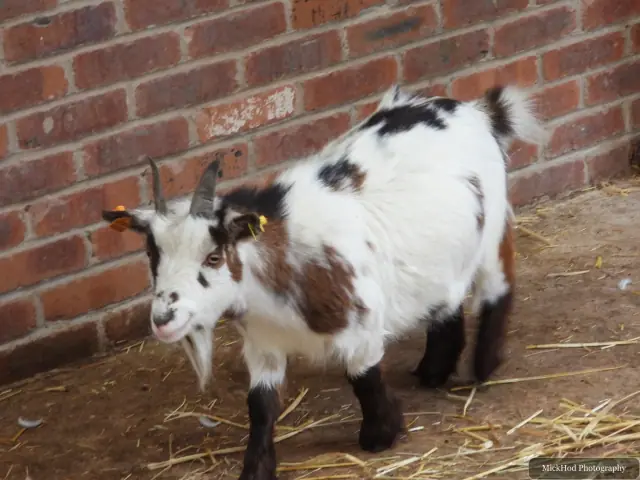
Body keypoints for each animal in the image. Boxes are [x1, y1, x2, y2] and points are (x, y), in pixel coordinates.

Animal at [103, 84, 547, 480]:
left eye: (213, 256)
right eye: (152, 254)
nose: (163, 319)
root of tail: (478, 111)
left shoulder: (363, 323)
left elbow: (362, 376)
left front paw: (381, 434)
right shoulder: (262, 344)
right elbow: (260, 406)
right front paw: (256, 468)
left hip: (492, 231)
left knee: (497, 288)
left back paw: (484, 365)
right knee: (446, 302)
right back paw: (434, 371)